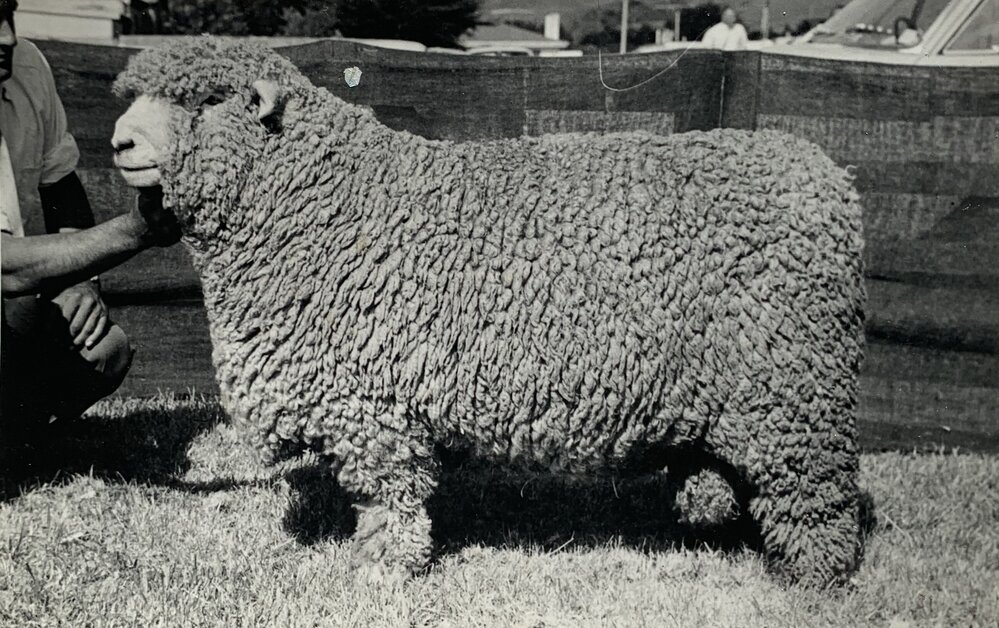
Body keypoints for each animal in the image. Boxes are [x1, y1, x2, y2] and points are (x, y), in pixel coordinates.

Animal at [110, 37, 866, 587]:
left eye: (210, 100)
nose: (120, 142)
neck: (327, 202)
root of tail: (828, 175)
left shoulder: (375, 406)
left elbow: (390, 497)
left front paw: (382, 570)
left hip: (795, 389)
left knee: (818, 498)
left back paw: (814, 580)